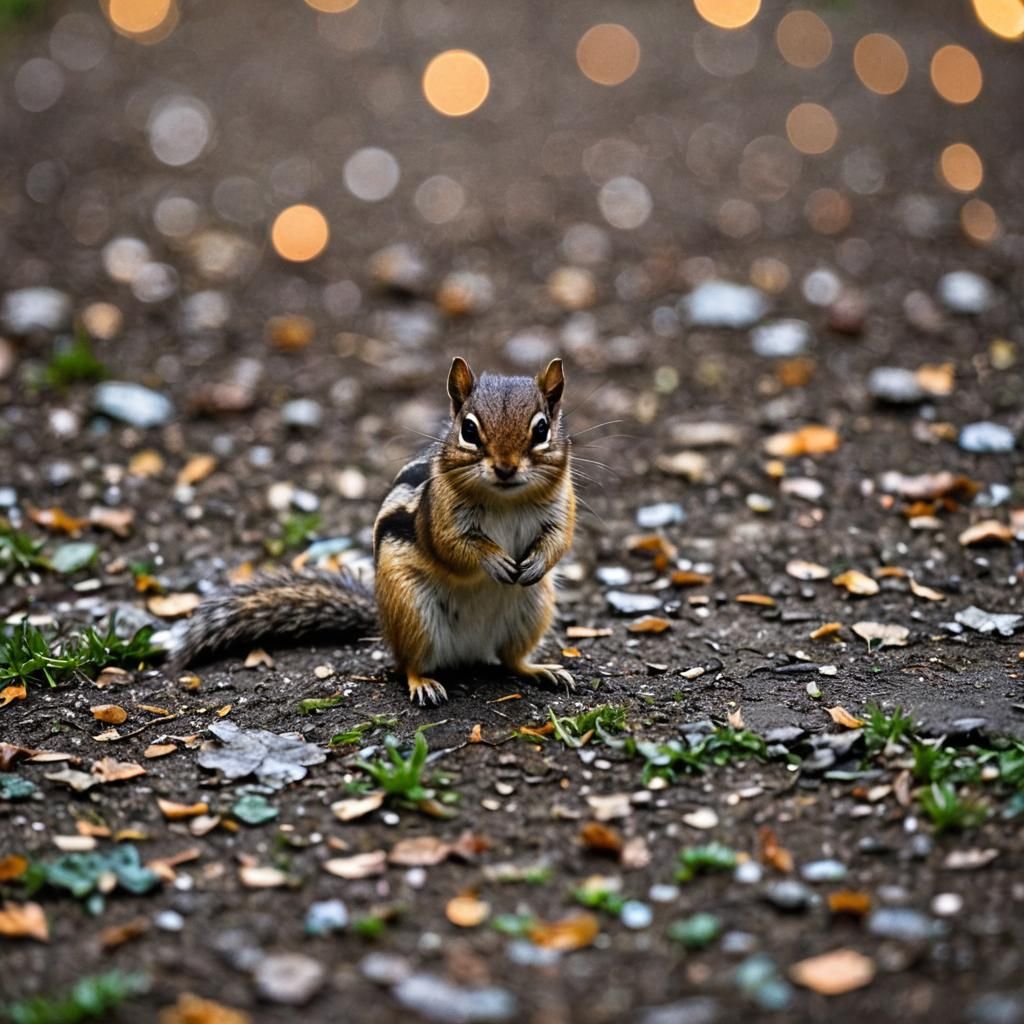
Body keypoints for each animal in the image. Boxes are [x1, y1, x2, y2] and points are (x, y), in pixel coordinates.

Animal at [172, 356, 577, 705]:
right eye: (468, 430)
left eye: (542, 428)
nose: (505, 468)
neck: (505, 499)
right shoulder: (439, 519)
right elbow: (453, 548)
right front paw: (492, 559)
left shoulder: (561, 506)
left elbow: (560, 540)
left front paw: (537, 561)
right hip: (412, 610)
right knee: (409, 664)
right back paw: (423, 682)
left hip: (533, 607)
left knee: (510, 660)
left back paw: (541, 670)